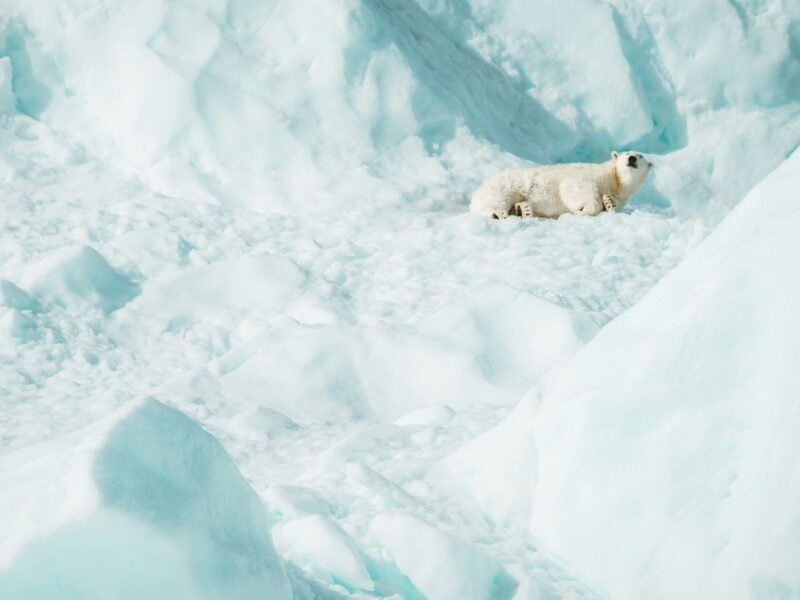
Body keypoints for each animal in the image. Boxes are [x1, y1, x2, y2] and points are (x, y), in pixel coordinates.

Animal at [470, 151, 653, 219]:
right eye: (626, 153)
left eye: (640, 156)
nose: (632, 158)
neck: (614, 180)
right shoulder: (588, 175)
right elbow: (574, 186)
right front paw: (583, 209)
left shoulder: (620, 195)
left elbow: (613, 202)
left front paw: (609, 202)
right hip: (506, 185)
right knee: (497, 200)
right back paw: (499, 213)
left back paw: (524, 210)